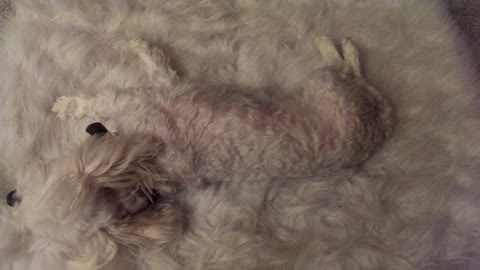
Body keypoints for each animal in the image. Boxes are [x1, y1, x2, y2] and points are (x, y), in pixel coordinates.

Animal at [1, 35, 392, 270]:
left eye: (26, 189)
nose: (8, 197)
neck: (145, 176)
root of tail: (379, 123)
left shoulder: (146, 97)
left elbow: (109, 94)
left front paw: (70, 104)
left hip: (327, 83)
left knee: (349, 68)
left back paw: (333, 46)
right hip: (335, 92)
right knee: (357, 75)